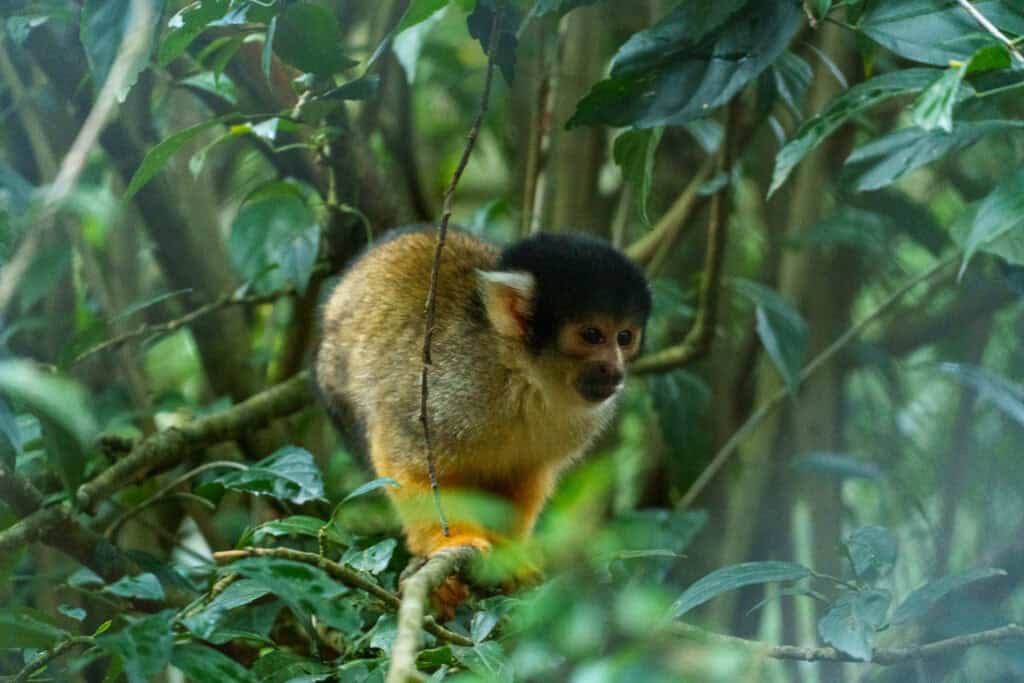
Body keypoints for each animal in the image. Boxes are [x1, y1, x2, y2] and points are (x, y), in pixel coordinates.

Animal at [315, 228, 651, 570]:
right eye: (593, 335)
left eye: (625, 337)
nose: (614, 369)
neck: (524, 376)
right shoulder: (450, 387)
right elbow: (406, 455)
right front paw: (450, 539)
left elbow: (526, 475)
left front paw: (508, 554)